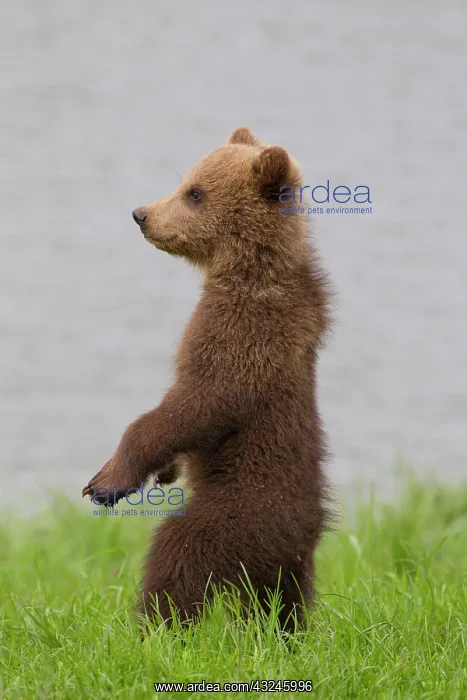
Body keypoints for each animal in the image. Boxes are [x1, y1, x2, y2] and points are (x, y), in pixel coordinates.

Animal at [82, 127, 332, 630]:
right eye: (185, 181)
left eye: (194, 193)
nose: (141, 214)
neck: (244, 270)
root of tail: (301, 535)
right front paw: (165, 470)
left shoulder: (244, 334)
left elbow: (201, 401)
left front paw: (106, 482)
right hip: (288, 565)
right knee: (284, 603)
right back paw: (283, 633)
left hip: (240, 513)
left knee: (178, 554)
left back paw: (152, 627)